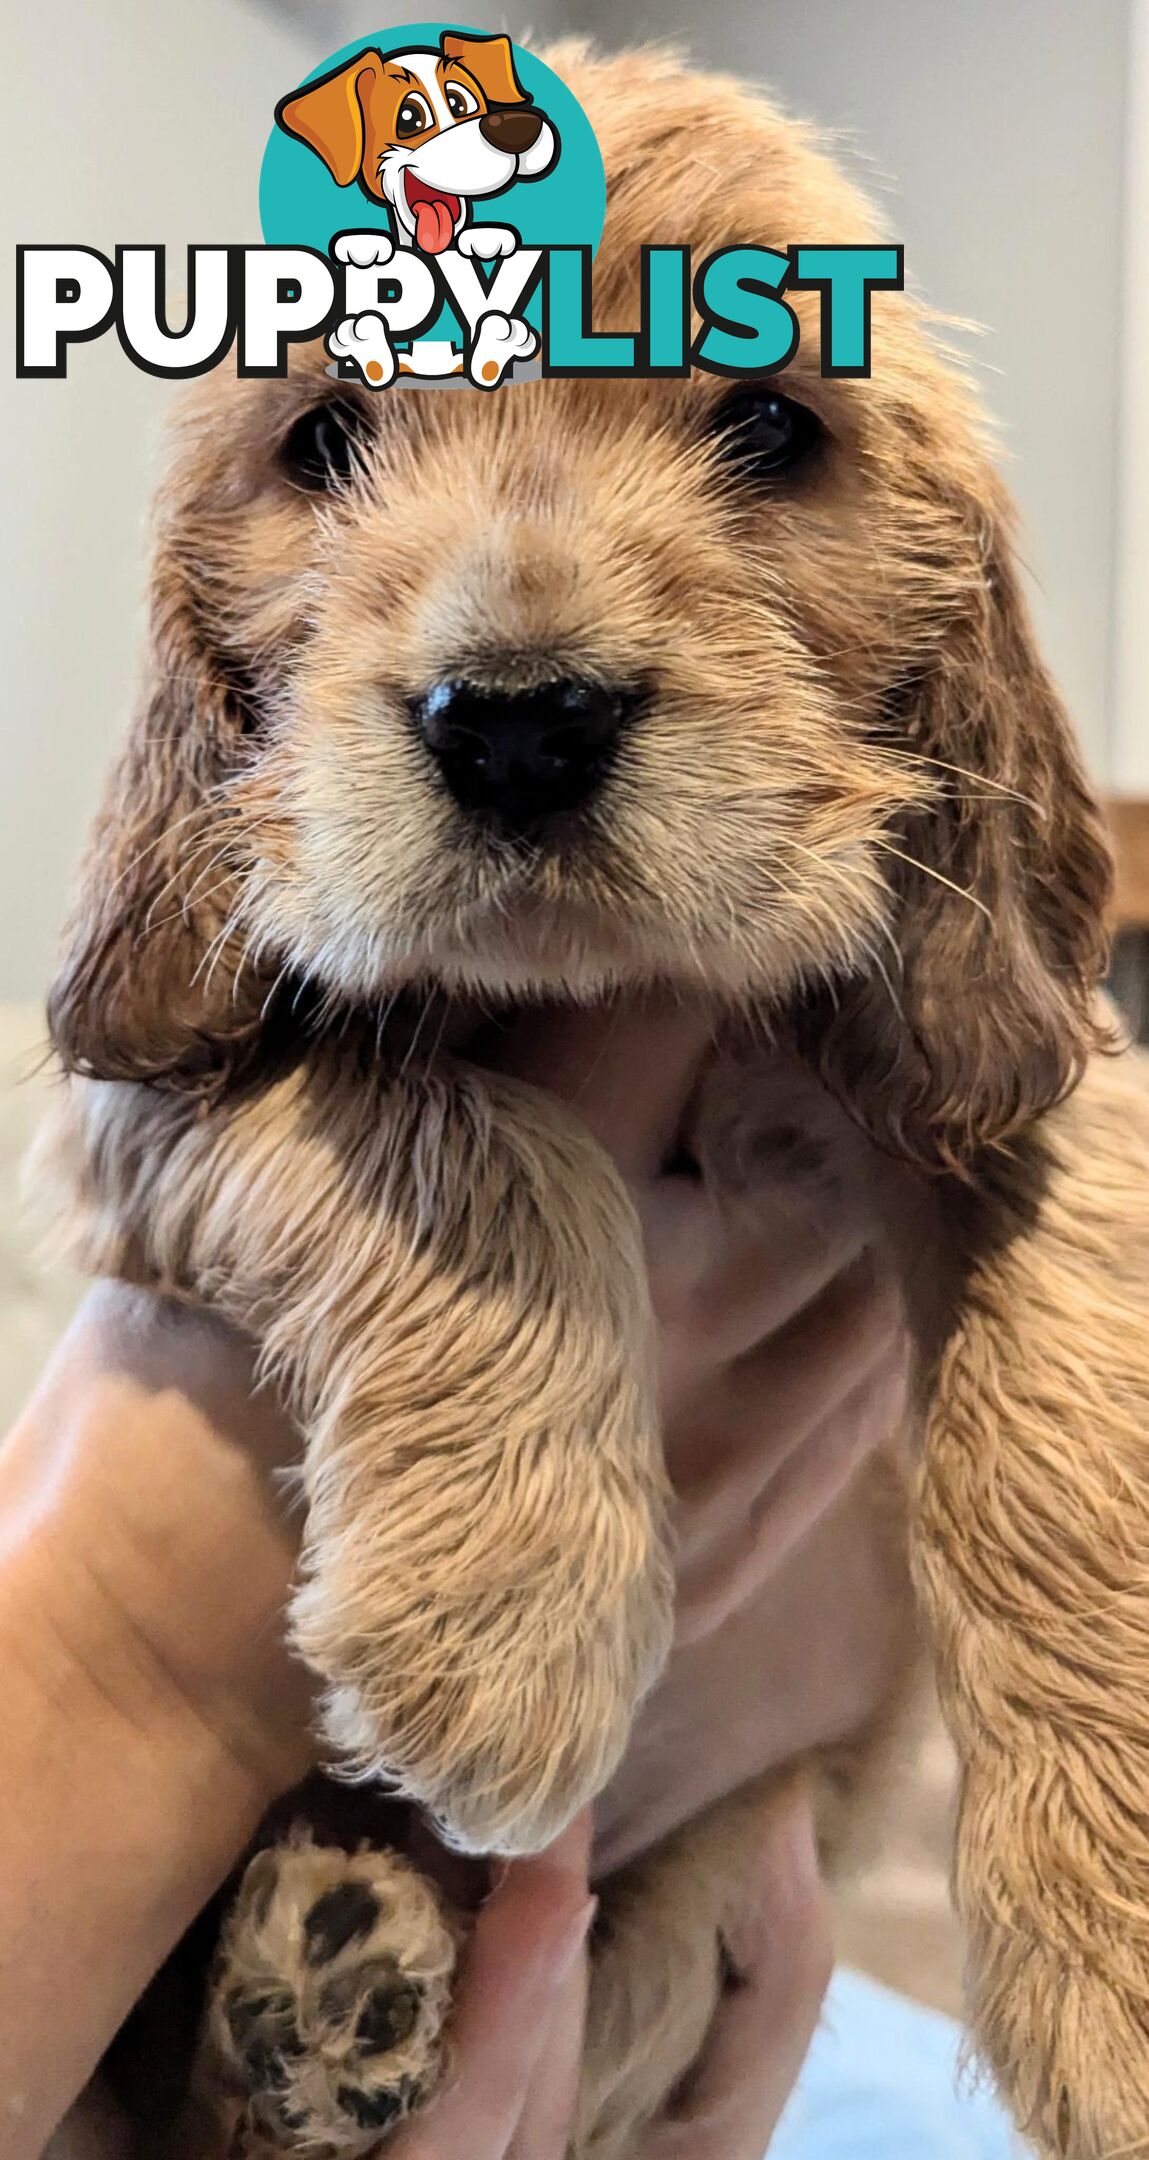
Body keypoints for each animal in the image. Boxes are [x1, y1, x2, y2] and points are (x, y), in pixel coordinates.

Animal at [40, 33, 1149, 2160]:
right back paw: (309, 1996)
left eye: (768, 422)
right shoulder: (141, 1090)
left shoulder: (1008, 1063)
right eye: (323, 440)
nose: (517, 723)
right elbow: (469, 1127)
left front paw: (1116, 1952)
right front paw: (506, 1613)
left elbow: (1065, 1368)